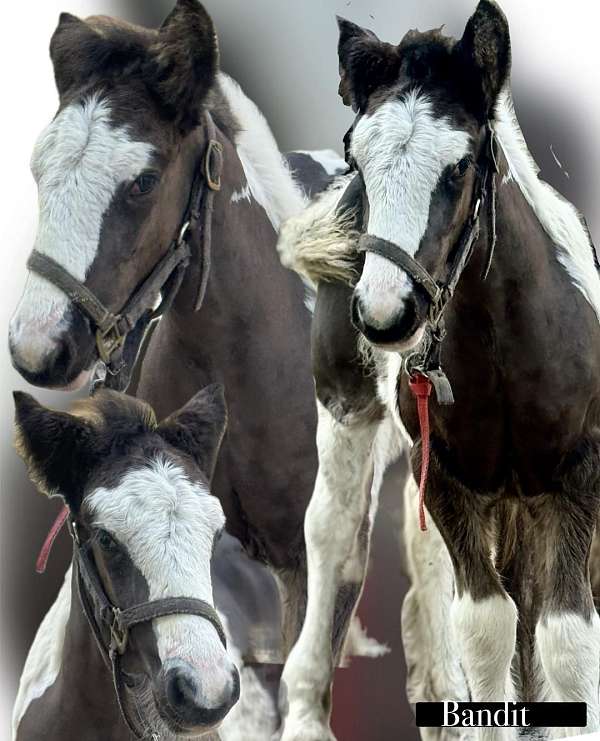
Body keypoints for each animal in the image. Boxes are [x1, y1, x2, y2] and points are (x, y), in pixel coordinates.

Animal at [276, 1, 600, 740]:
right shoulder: (453, 477)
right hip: (350, 408)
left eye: (460, 165)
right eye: (357, 158)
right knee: (334, 534)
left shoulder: (577, 474)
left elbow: (565, 642)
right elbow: (485, 629)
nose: (385, 313)